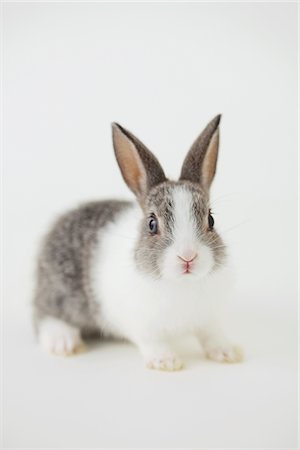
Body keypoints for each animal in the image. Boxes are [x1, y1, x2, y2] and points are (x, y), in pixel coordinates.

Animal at [34, 114, 243, 370]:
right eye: (152, 224)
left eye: (211, 220)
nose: (188, 257)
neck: (182, 284)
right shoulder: (142, 324)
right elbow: (152, 341)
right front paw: (166, 361)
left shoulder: (208, 318)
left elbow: (212, 335)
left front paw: (228, 353)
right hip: (59, 293)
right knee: (44, 316)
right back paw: (63, 342)